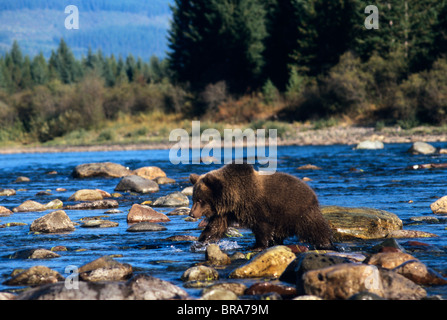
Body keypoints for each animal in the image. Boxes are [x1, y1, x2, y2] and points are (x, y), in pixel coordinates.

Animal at [189, 165, 332, 250]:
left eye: (200, 200)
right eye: (194, 198)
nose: (191, 214)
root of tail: (312, 193)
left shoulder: (257, 208)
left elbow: (262, 227)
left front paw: (258, 245)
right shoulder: (225, 213)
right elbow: (215, 227)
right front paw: (201, 241)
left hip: (299, 211)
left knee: (315, 228)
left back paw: (325, 243)